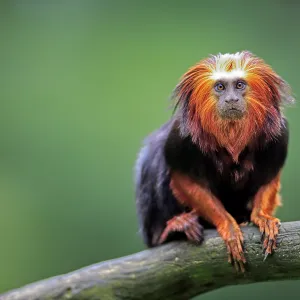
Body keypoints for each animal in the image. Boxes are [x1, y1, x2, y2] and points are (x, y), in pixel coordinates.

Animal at [135, 50, 294, 270]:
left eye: (239, 85)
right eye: (220, 87)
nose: (231, 99)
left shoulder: (279, 134)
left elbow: (268, 179)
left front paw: (262, 217)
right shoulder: (181, 136)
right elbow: (185, 180)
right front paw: (229, 226)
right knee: (154, 157)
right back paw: (172, 230)